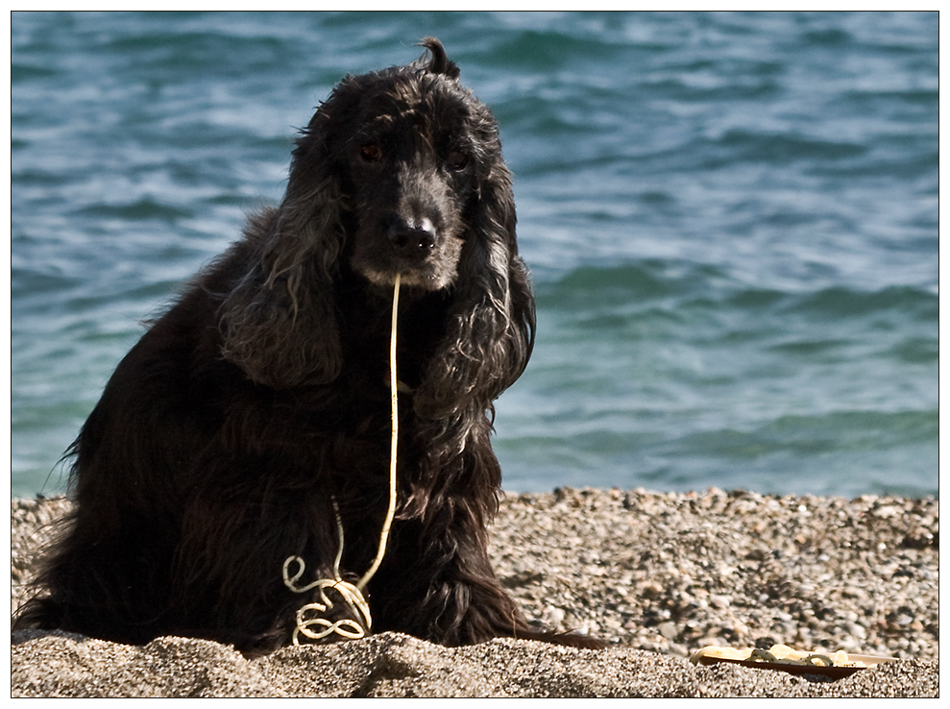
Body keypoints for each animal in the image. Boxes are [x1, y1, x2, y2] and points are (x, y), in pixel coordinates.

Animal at [16, 38, 604, 656]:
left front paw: (490, 627)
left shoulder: (444, 456)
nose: (413, 237)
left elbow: (450, 550)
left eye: (460, 161)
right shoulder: (276, 465)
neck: (383, 319)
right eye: (369, 150)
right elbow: (295, 542)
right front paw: (303, 622)